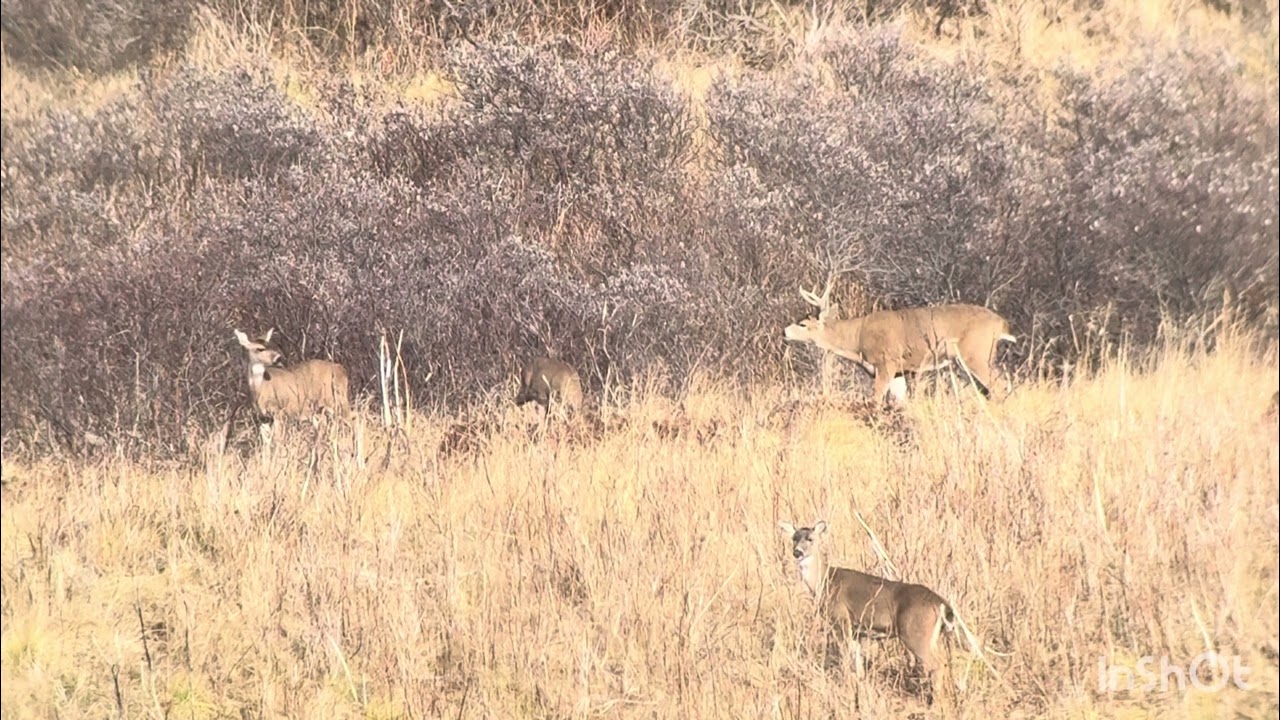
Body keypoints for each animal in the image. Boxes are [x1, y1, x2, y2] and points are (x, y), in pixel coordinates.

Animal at [783, 281, 1016, 406]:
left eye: (802, 324)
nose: (784, 331)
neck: (856, 339)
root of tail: (1001, 324)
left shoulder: (886, 362)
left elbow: (876, 399)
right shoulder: (899, 372)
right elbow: (901, 402)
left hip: (976, 354)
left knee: (1000, 387)